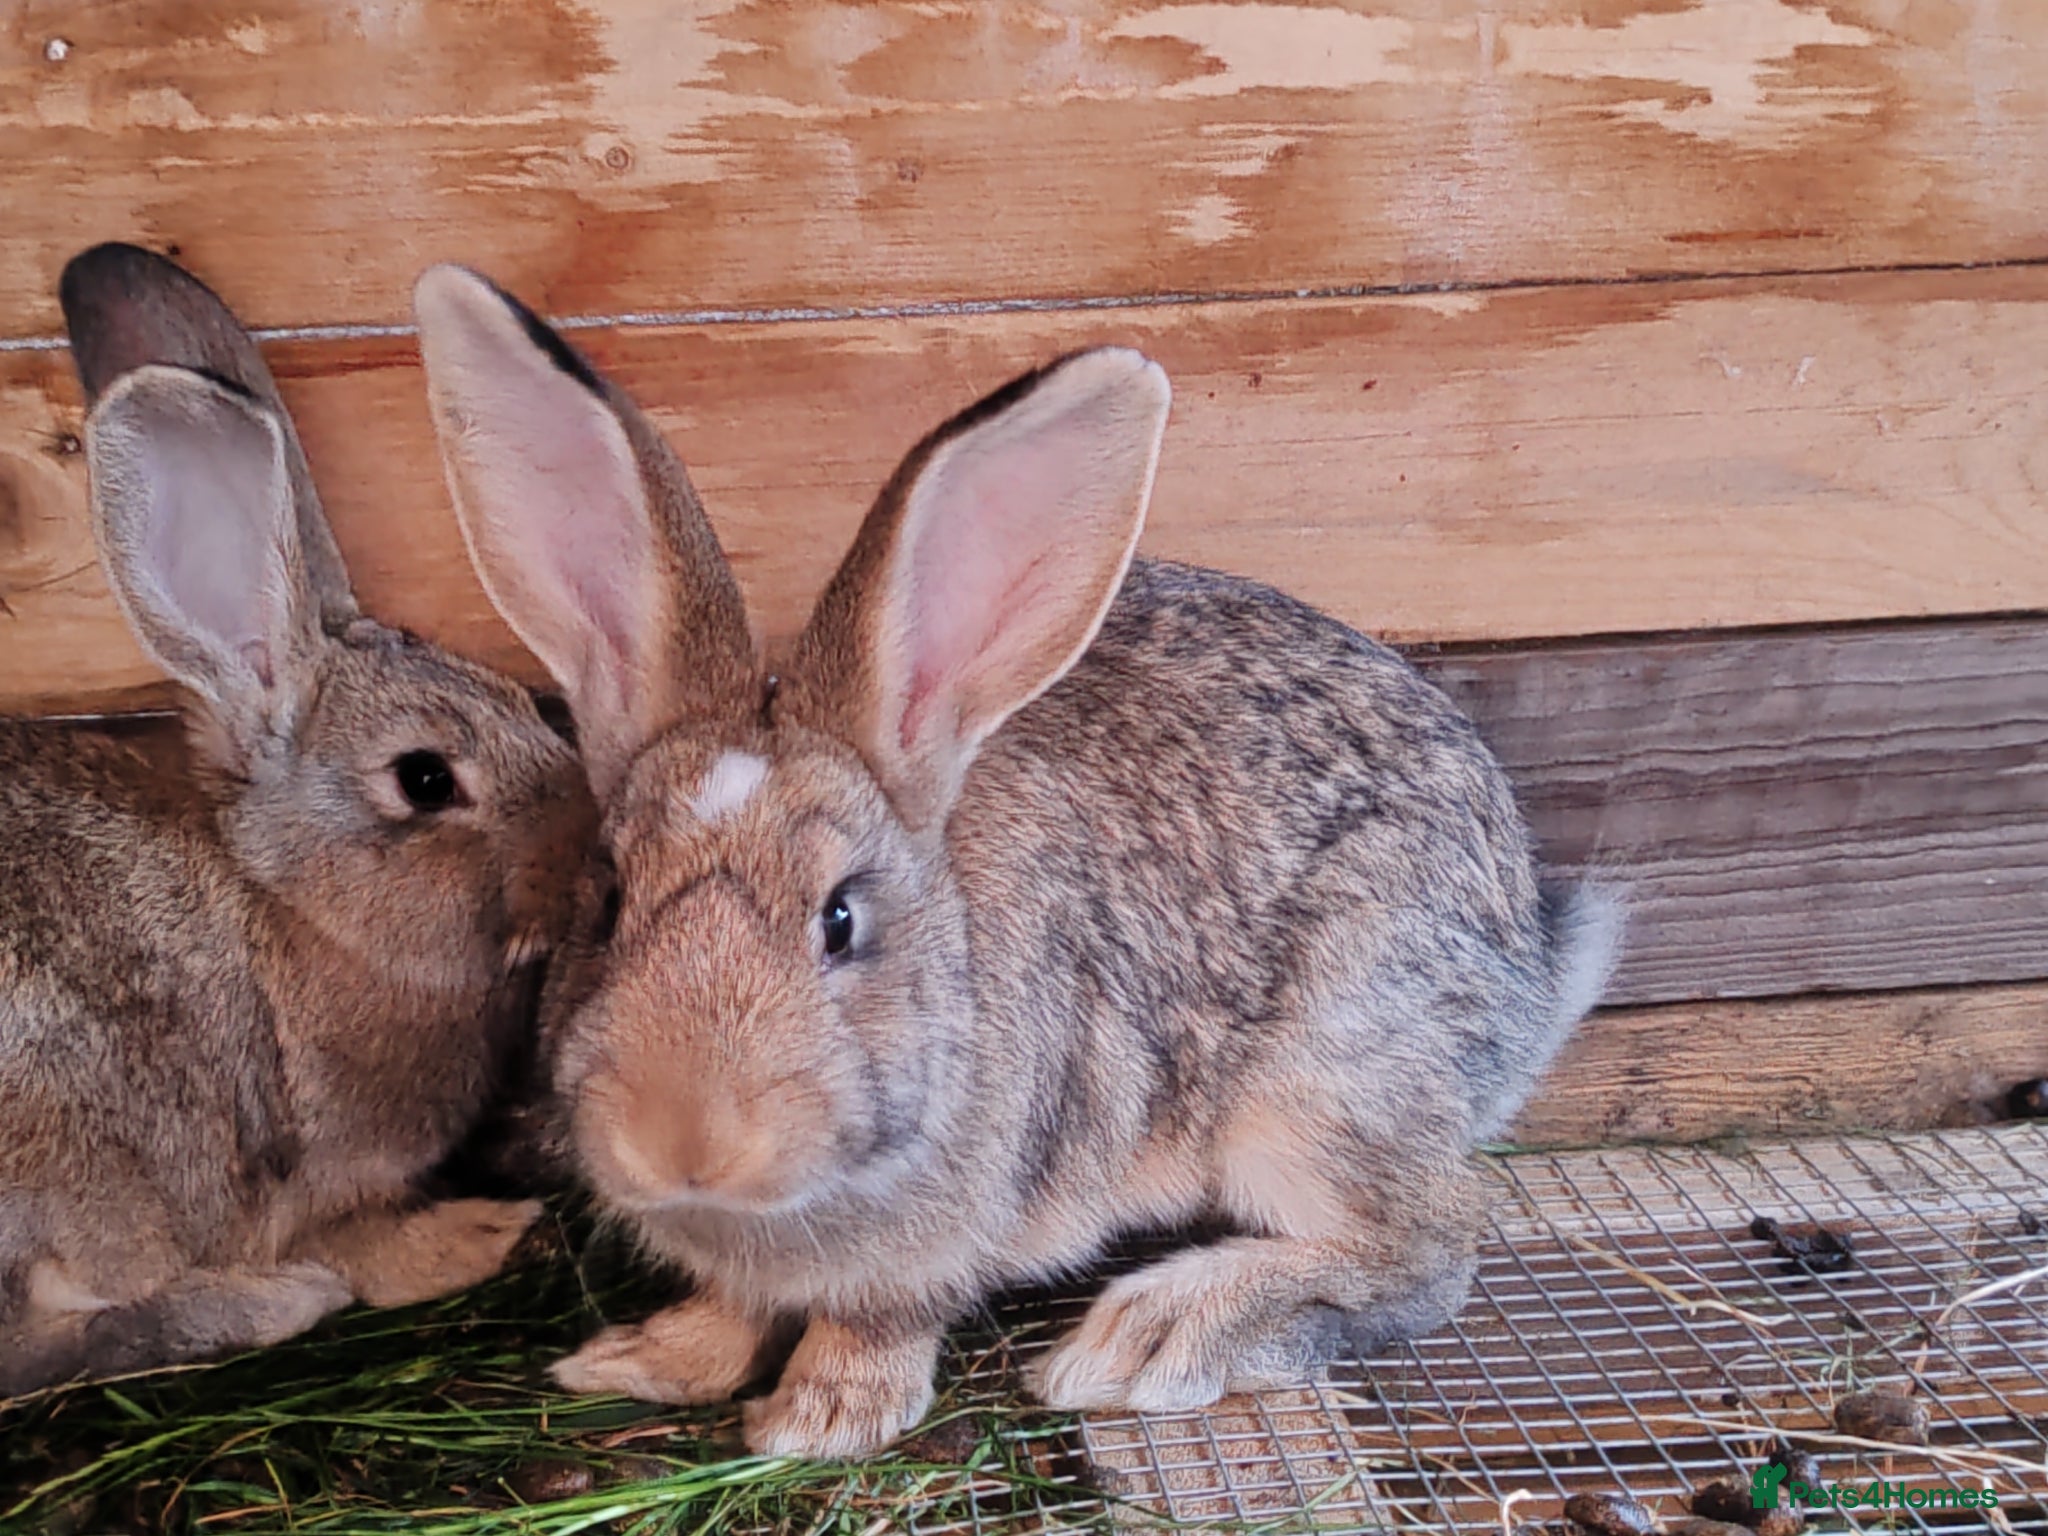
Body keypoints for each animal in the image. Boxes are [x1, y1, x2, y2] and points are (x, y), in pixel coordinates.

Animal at [0, 245, 597, 1397]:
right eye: (424, 779)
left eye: (524, 703)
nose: (590, 865)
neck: (297, 913)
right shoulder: (317, 1182)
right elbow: (377, 1249)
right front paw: (488, 1234)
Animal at [411, 264, 1622, 1459]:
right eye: (608, 903)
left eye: (840, 921)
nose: (684, 1141)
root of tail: (1532, 957)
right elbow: (730, 1313)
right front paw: (643, 1361)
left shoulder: (937, 1244)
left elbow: (875, 1325)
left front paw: (817, 1420)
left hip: (1323, 1084)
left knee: (1432, 1247)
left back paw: (1158, 1334)